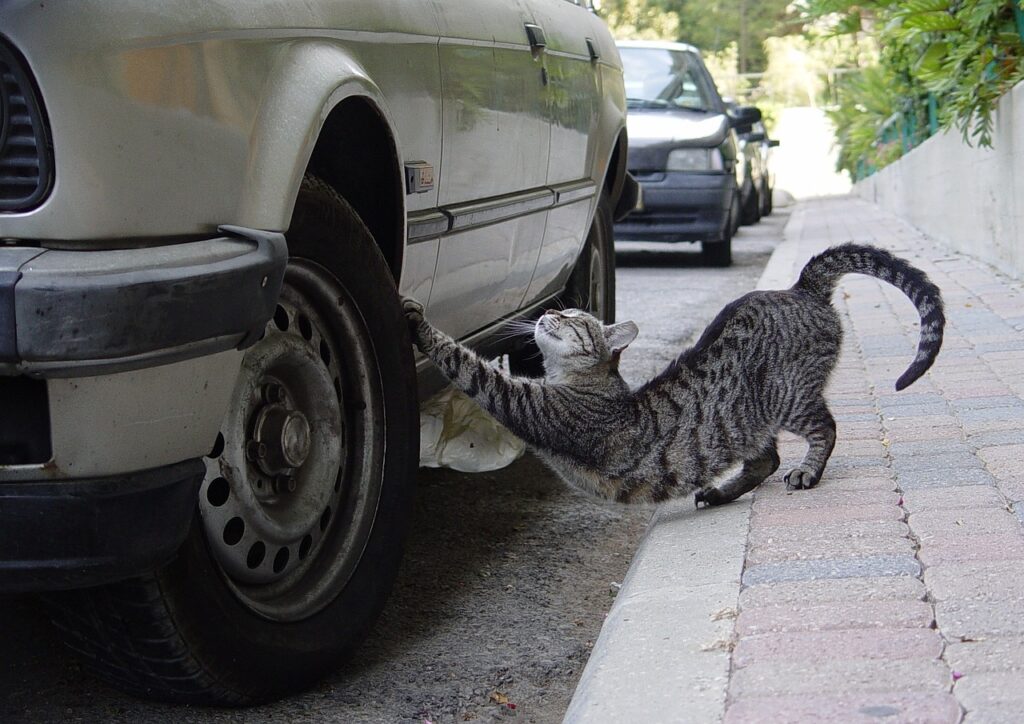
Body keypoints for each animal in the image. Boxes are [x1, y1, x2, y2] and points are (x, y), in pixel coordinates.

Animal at [401, 243, 942, 503]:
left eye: (575, 318)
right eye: (563, 312)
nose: (548, 312)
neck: (575, 381)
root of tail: (798, 287)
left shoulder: (527, 404)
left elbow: (468, 366)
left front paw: (418, 323)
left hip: (788, 396)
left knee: (825, 429)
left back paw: (807, 470)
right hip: (743, 422)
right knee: (764, 460)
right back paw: (722, 493)